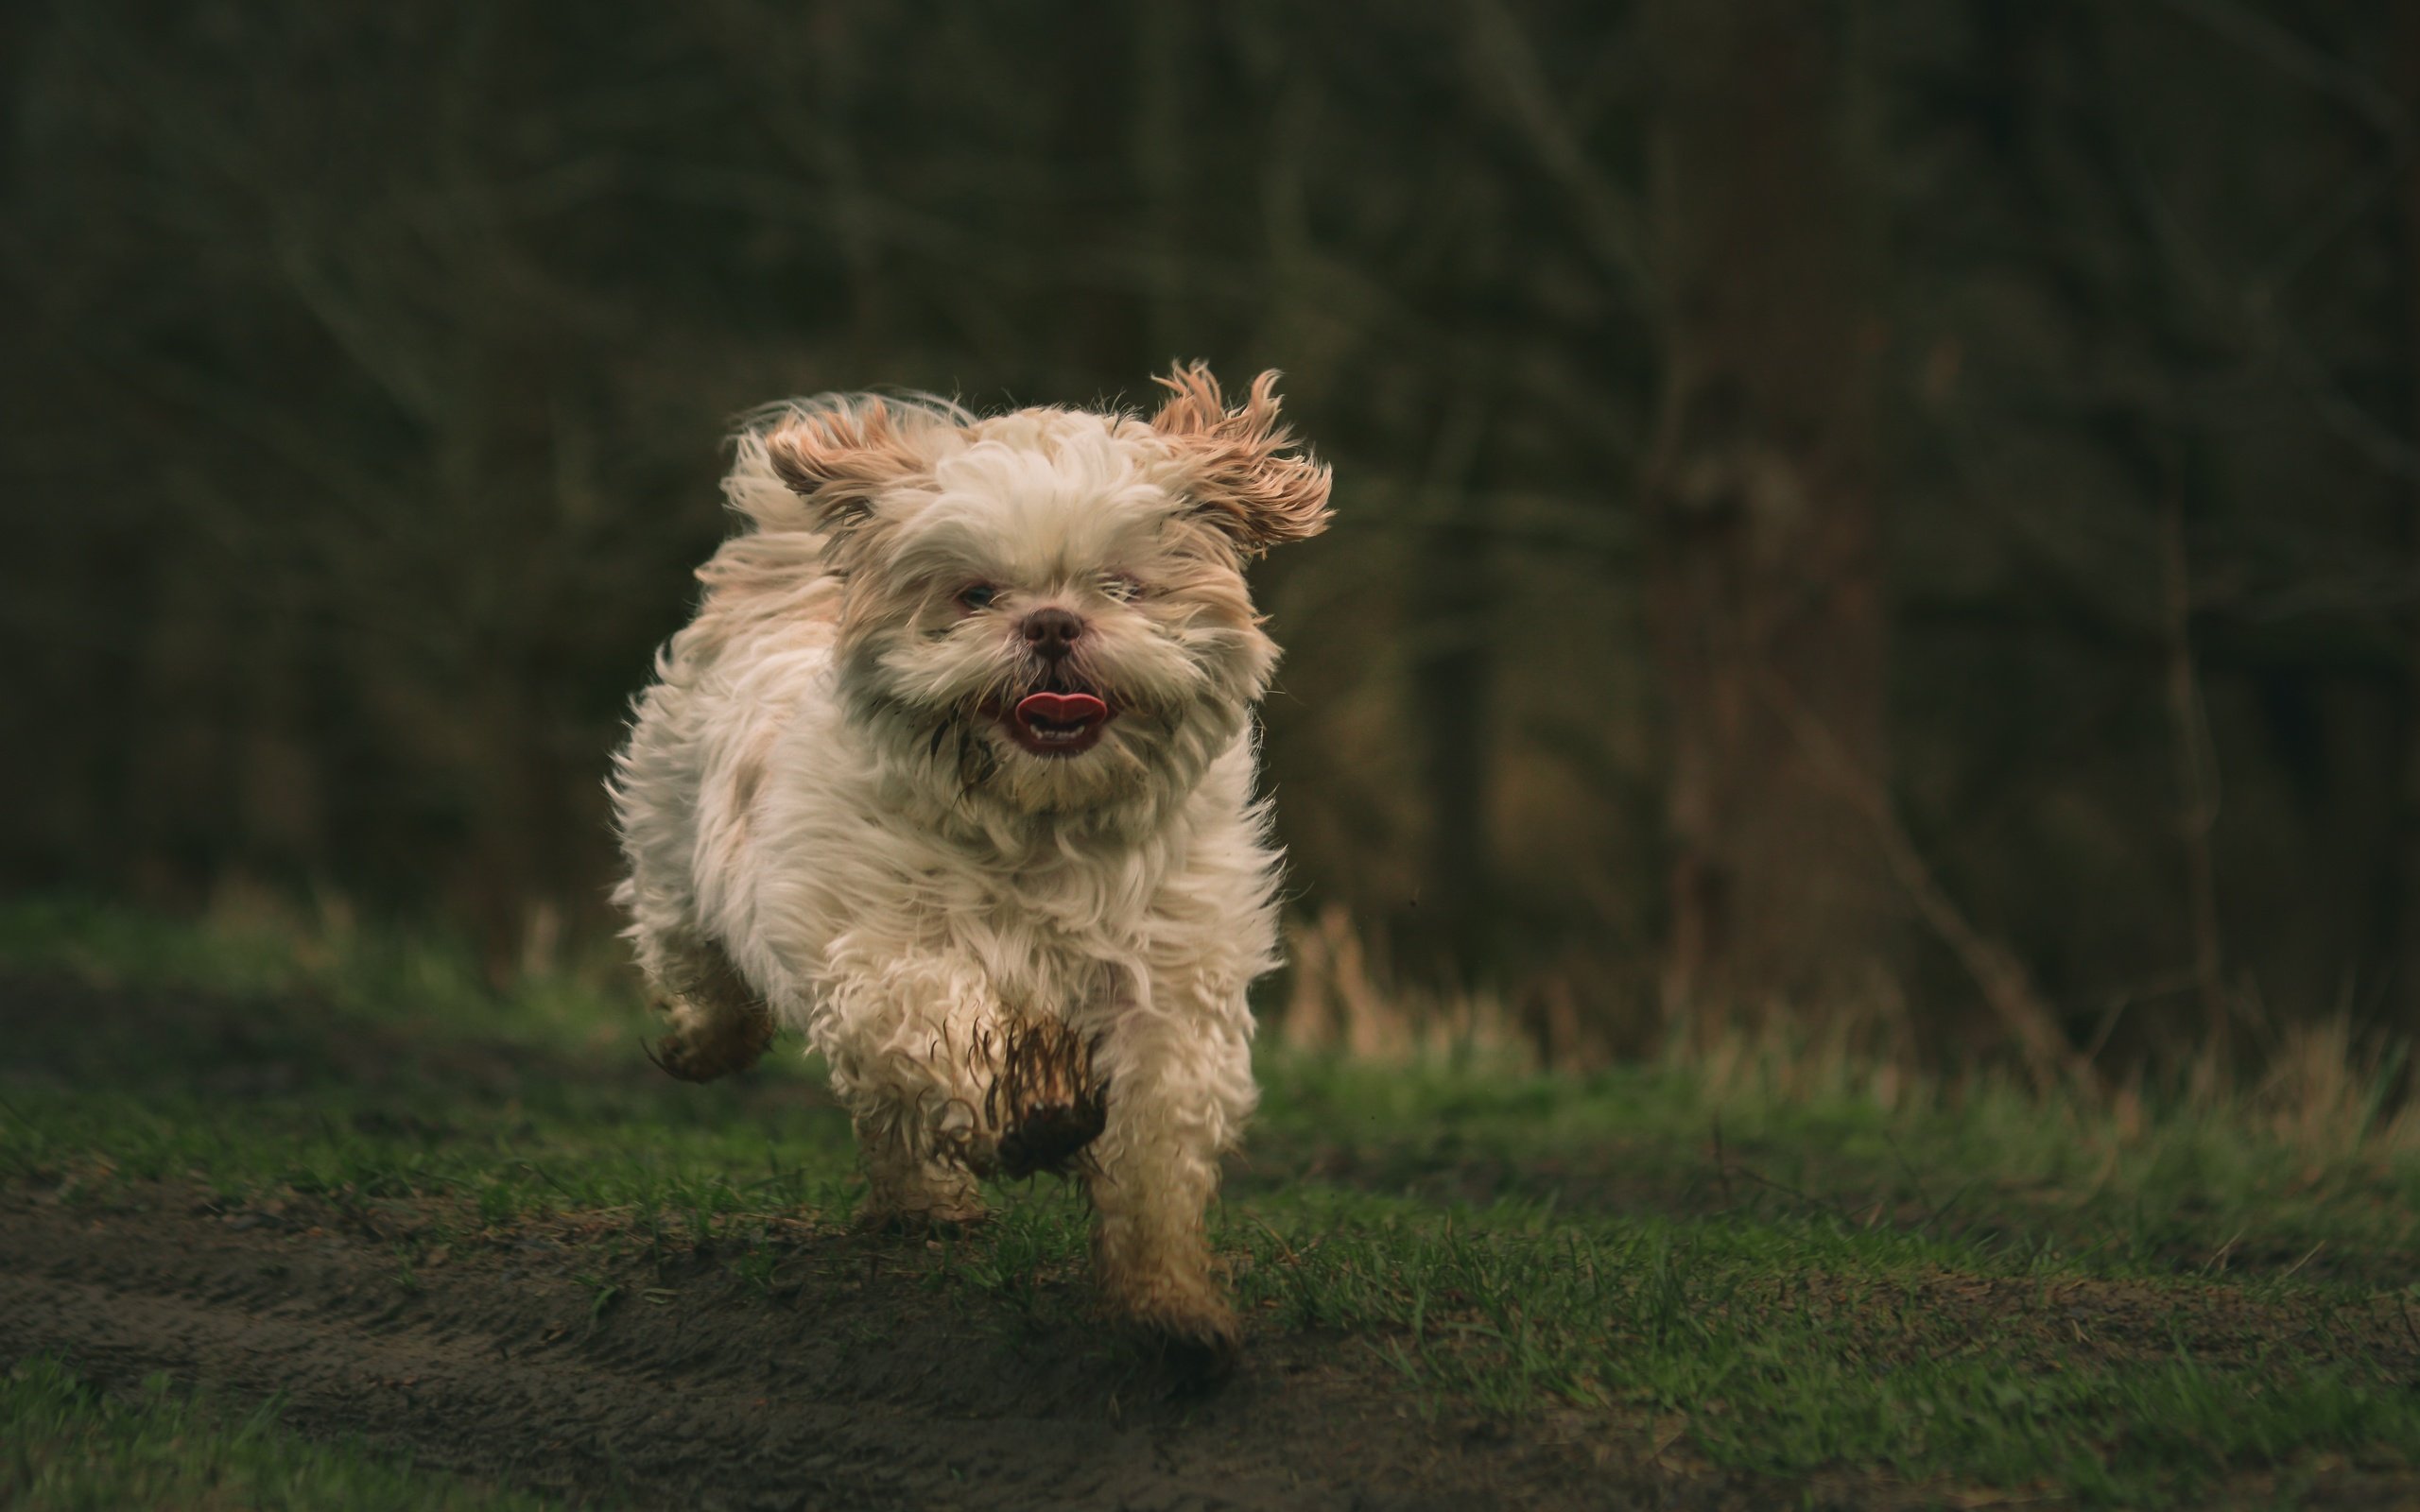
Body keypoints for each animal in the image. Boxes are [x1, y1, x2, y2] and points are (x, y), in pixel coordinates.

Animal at [599, 363, 1325, 1354]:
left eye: (1120, 587)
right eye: (976, 595)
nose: (1052, 623)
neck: (1042, 824)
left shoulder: (1170, 989)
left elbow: (1157, 1151)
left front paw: (1169, 1303)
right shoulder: (881, 951)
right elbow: (942, 1022)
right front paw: (1034, 1108)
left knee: (882, 1111)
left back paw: (925, 1202)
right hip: (673, 840)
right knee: (695, 958)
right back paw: (711, 1041)